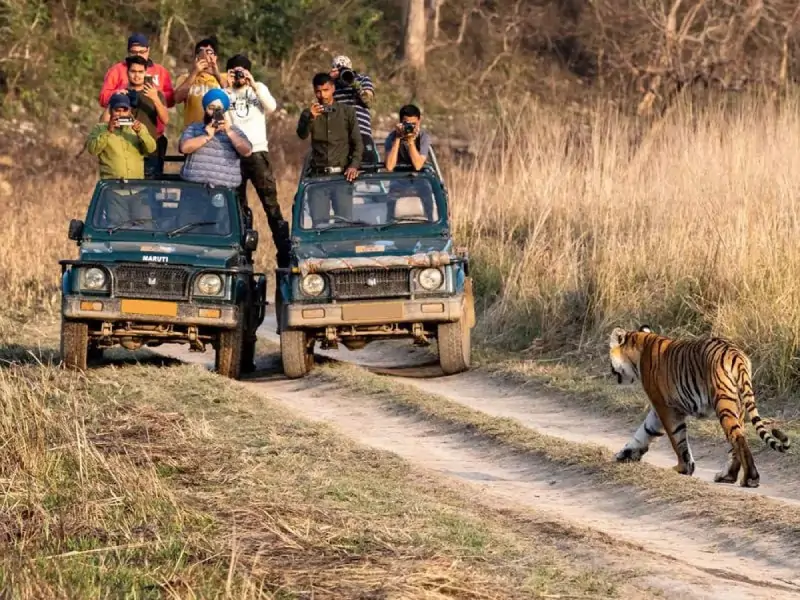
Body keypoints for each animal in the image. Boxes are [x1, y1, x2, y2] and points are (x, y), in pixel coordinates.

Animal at [608, 325, 790, 488]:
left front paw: (683, 468)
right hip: (738, 405)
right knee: (738, 440)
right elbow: (645, 431)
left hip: (724, 402)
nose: (610, 370)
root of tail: (736, 354)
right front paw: (625, 454)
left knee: (738, 438)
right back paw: (728, 476)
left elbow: (677, 439)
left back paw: (750, 479)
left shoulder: (665, 407)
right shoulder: (660, 408)